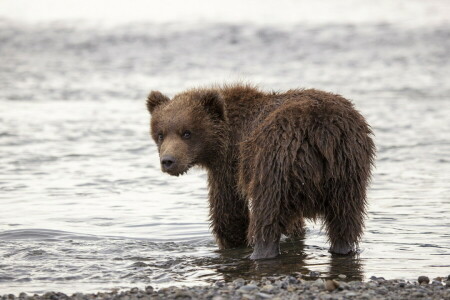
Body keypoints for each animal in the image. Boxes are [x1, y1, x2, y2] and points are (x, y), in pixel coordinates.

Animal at [146, 83, 374, 258]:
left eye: (187, 133)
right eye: (160, 134)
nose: (168, 161)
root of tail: (321, 132)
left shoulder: (231, 162)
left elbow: (229, 209)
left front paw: (232, 241)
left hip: (274, 161)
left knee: (266, 212)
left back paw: (260, 252)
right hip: (348, 169)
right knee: (345, 218)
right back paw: (343, 248)